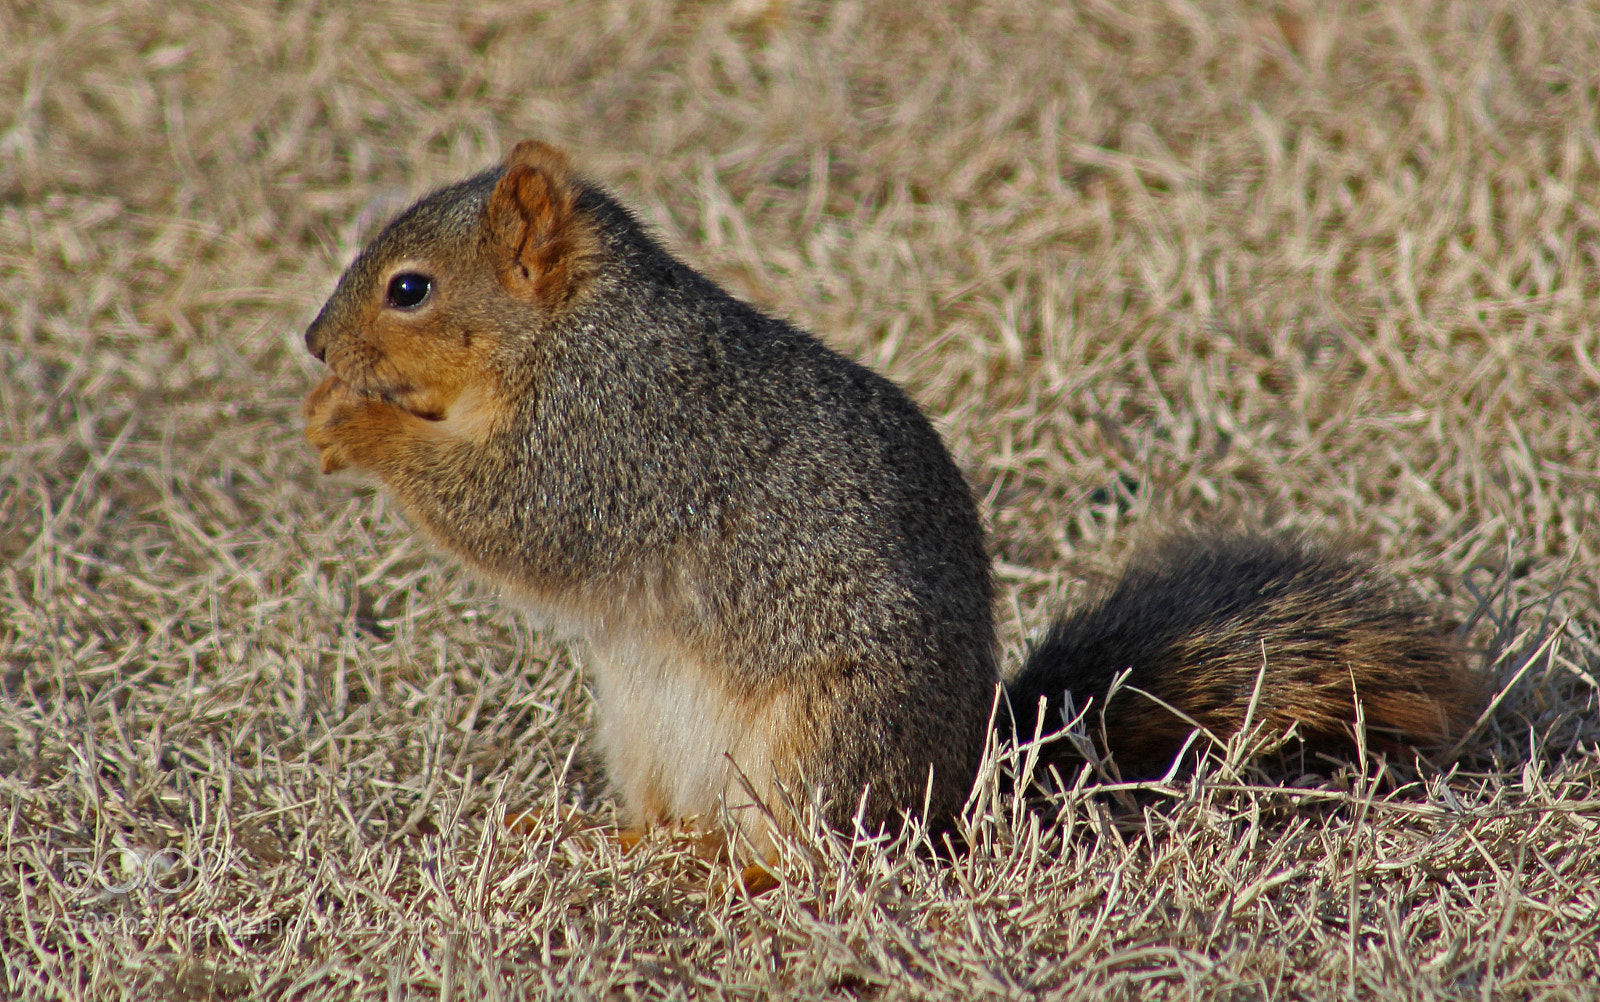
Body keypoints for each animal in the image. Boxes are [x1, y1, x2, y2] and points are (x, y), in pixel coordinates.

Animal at [302, 140, 1481, 861]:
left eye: (409, 289)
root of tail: (966, 777)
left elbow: (513, 511)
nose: (313, 342)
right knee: (683, 821)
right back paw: (614, 837)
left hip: (818, 741)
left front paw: (353, 423)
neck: (570, 330)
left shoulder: (612, 434)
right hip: (641, 727)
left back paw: (736, 872)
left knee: (812, 851)